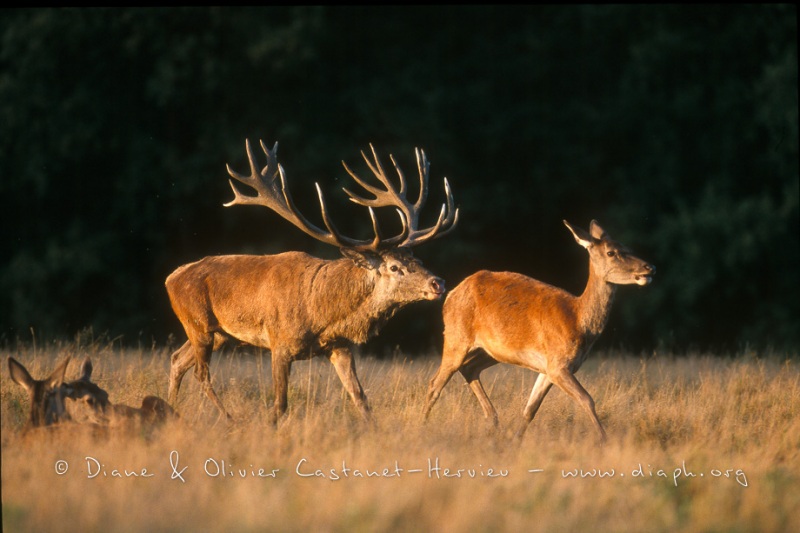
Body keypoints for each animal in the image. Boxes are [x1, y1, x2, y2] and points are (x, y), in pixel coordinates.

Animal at [166, 139, 460, 422]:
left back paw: (172, 409)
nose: (438, 283)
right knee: (201, 374)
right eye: (394, 267)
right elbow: (280, 405)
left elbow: (361, 400)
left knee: (177, 359)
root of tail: (172, 278)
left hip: (219, 334)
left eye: (418, 260)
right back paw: (228, 419)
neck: (322, 313)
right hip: (197, 323)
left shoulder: (340, 347)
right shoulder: (280, 342)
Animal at [422, 218, 652, 438]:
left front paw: (515, 440)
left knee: (469, 368)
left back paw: (494, 420)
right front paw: (605, 441)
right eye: (611, 252)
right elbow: (587, 399)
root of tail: (450, 295)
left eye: (628, 247)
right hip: (456, 337)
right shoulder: (558, 364)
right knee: (434, 383)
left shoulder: (548, 369)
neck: (578, 321)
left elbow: (530, 409)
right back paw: (422, 425)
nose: (649, 268)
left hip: (493, 351)